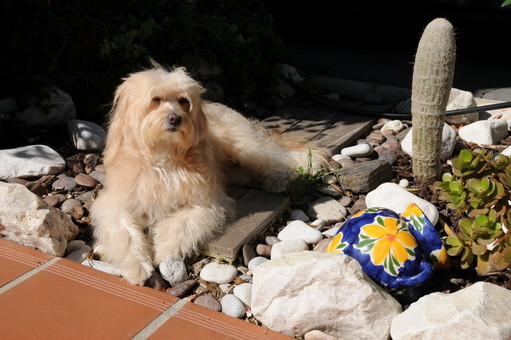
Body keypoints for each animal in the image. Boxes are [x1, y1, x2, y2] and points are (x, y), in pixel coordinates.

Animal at [90, 63, 330, 284]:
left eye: (183, 101)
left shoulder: (203, 203)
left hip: (246, 146)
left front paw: (161, 251)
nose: (175, 118)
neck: (164, 157)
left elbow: (179, 226)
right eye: (155, 99)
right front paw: (137, 267)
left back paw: (298, 170)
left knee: (282, 157)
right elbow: (125, 233)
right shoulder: (116, 203)